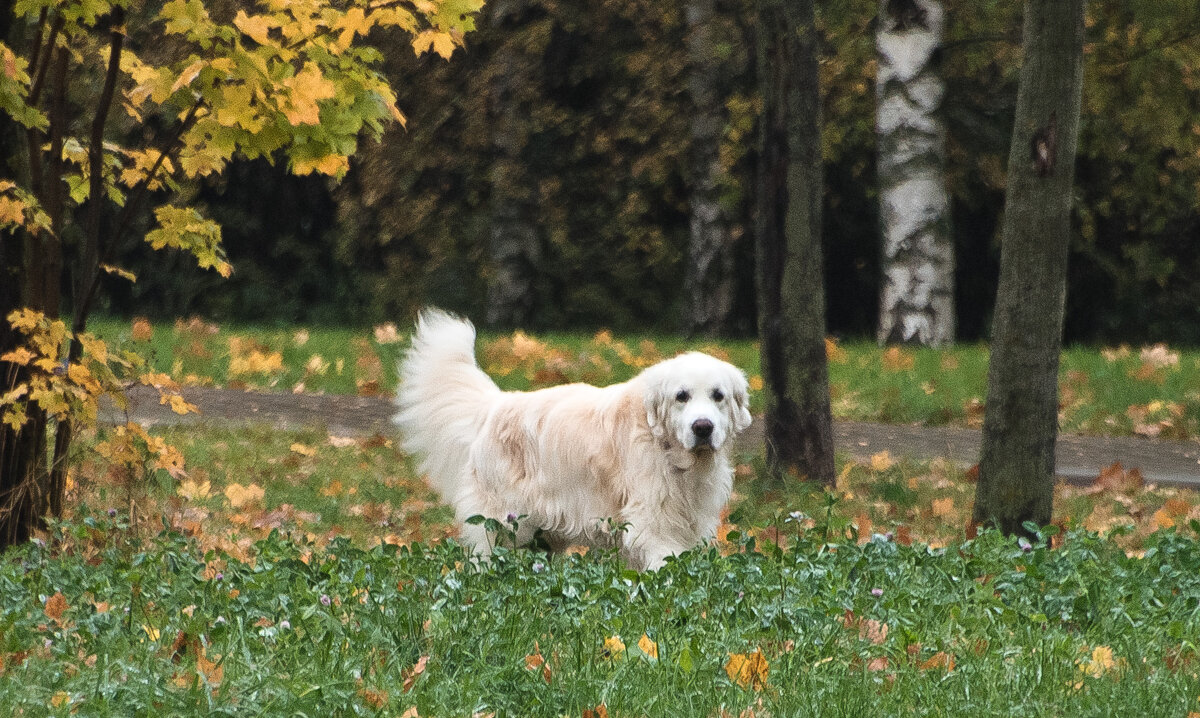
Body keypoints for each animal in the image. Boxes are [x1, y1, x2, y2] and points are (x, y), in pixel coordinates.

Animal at [393, 309, 748, 573]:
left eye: (718, 396)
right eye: (681, 396)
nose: (703, 428)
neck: (669, 452)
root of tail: (495, 404)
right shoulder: (652, 521)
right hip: (505, 524)